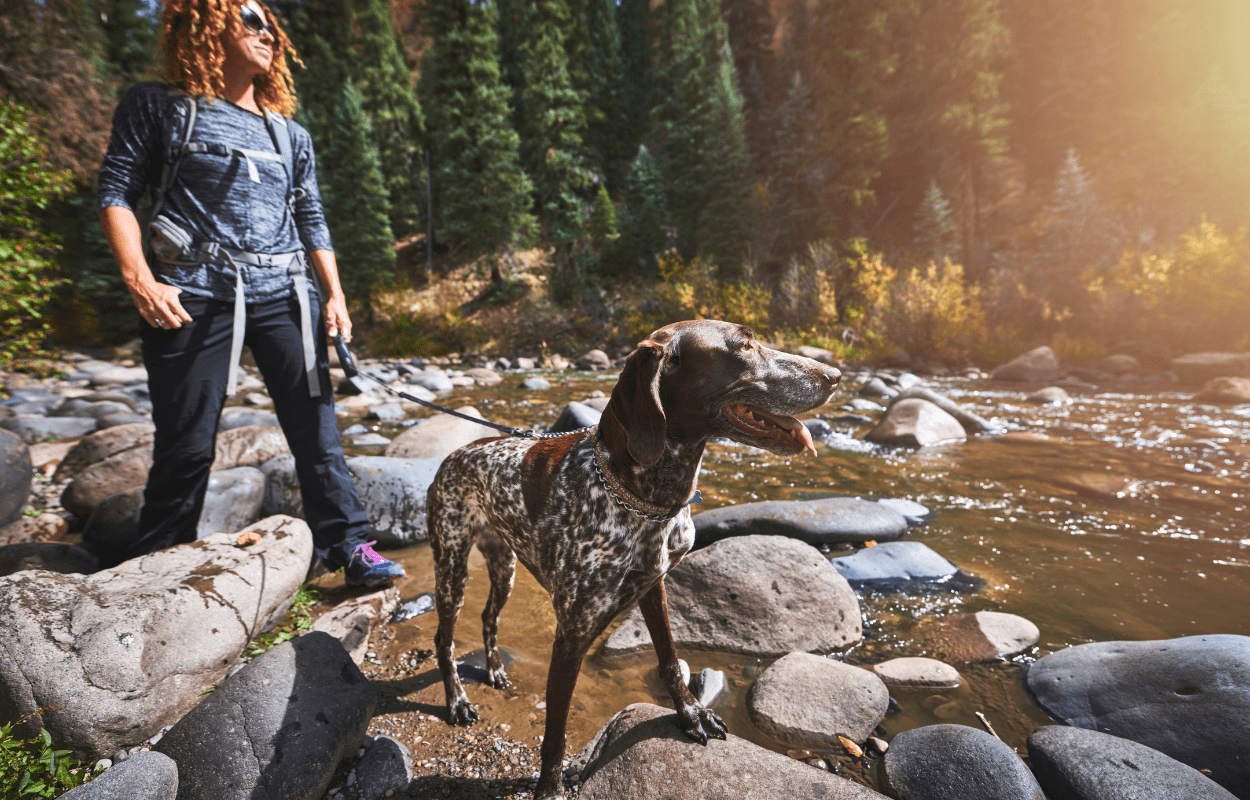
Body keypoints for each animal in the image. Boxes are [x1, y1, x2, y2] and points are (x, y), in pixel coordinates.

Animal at [425, 320, 845, 800]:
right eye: (743, 345)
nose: (834, 375)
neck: (644, 499)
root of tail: (454, 455)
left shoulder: (653, 586)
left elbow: (669, 661)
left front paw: (690, 713)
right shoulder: (571, 637)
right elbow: (555, 735)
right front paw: (548, 788)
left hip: (504, 568)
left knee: (488, 619)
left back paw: (494, 670)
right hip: (452, 568)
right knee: (444, 639)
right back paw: (457, 701)